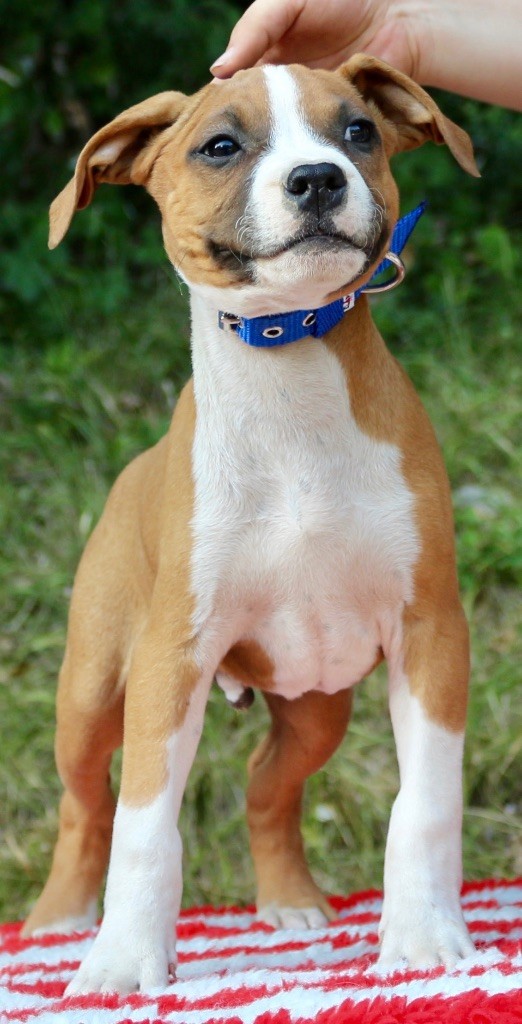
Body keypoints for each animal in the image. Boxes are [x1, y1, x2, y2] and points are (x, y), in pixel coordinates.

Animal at [23, 55, 479, 994]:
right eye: (221, 146)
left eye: (359, 131)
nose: (317, 179)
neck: (287, 372)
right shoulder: (171, 657)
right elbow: (143, 826)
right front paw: (124, 960)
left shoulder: (430, 632)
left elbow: (424, 804)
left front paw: (422, 939)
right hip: (90, 693)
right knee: (87, 805)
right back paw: (59, 924)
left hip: (316, 706)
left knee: (266, 780)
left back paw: (290, 901)